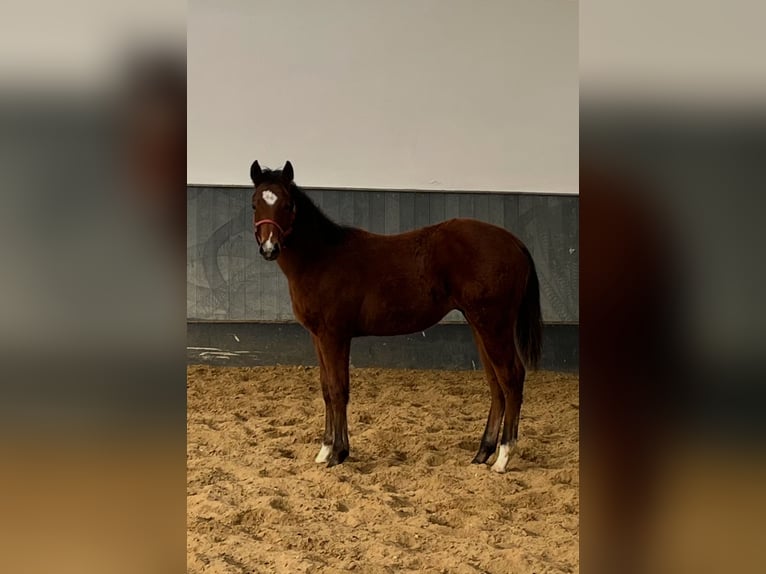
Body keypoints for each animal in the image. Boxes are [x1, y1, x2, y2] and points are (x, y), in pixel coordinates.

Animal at [249, 161, 544, 472]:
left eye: (287, 204)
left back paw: (503, 457)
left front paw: (339, 452)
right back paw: (482, 452)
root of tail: (513, 241)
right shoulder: (318, 337)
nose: (269, 248)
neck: (322, 258)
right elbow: (327, 389)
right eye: (255, 203)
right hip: (480, 325)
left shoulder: (335, 336)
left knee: (511, 379)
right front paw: (324, 450)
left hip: (494, 326)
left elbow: (339, 389)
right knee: (495, 384)